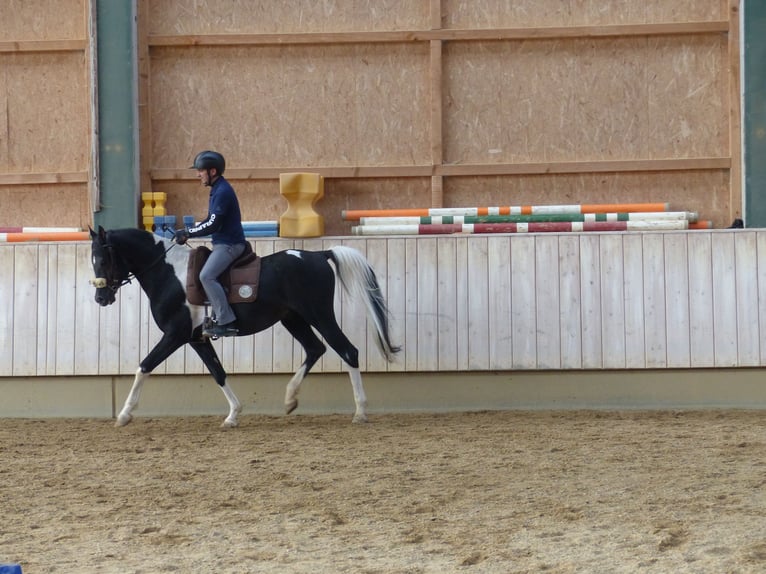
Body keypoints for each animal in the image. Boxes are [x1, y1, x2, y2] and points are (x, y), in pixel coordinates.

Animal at [88, 226, 400, 427]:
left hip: (320, 316)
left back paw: (360, 412)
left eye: (103, 259)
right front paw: (233, 415)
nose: (101, 298)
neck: (169, 273)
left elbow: (144, 365)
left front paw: (124, 415)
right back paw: (290, 399)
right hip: (293, 319)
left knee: (348, 351)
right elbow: (218, 373)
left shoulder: (175, 335)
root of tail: (318, 255)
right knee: (315, 349)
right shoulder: (197, 339)